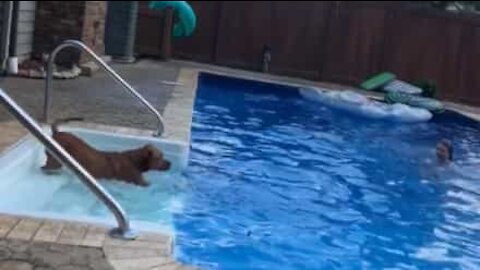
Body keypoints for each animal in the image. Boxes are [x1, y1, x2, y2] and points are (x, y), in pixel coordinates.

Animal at [42, 118, 172, 186]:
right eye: (160, 157)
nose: (170, 164)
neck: (135, 161)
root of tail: (57, 132)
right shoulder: (140, 183)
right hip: (55, 162)